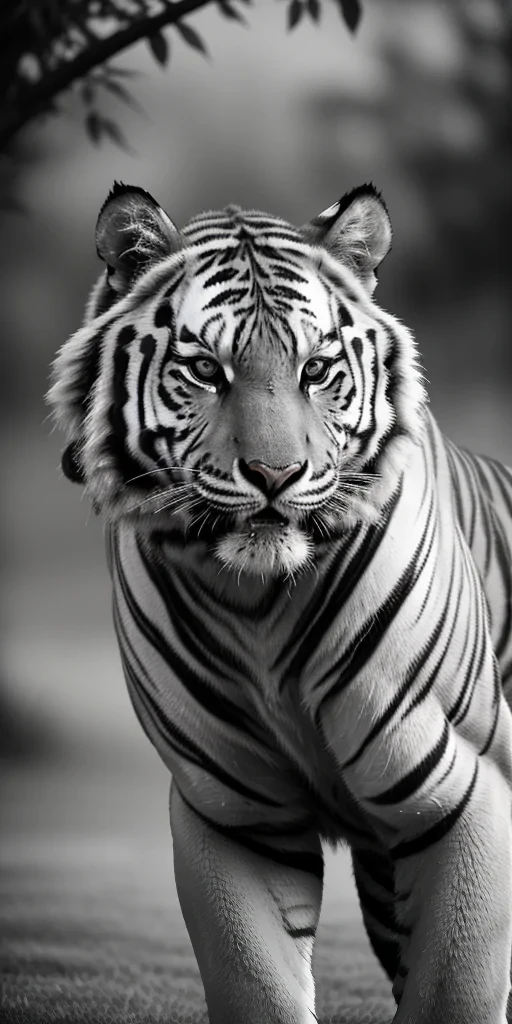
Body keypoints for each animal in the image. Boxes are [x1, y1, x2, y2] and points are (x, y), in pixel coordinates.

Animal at [47, 180, 512, 1024]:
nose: (274, 474)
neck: (259, 602)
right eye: (205, 370)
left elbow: (456, 988)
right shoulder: (235, 817)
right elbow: (254, 984)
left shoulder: (460, 790)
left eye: (317, 368)